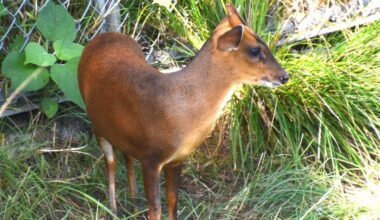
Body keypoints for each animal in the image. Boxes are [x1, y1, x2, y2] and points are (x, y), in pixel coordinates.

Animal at [78, 3, 290, 220]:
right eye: (254, 50)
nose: (284, 76)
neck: (180, 112)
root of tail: (101, 37)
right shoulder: (150, 158)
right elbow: (156, 209)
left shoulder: (177, 158)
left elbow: (173, 201)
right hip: (97, 123)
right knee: (110, 161)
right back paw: (112, 209)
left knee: (126, 158)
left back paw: (134, 206)